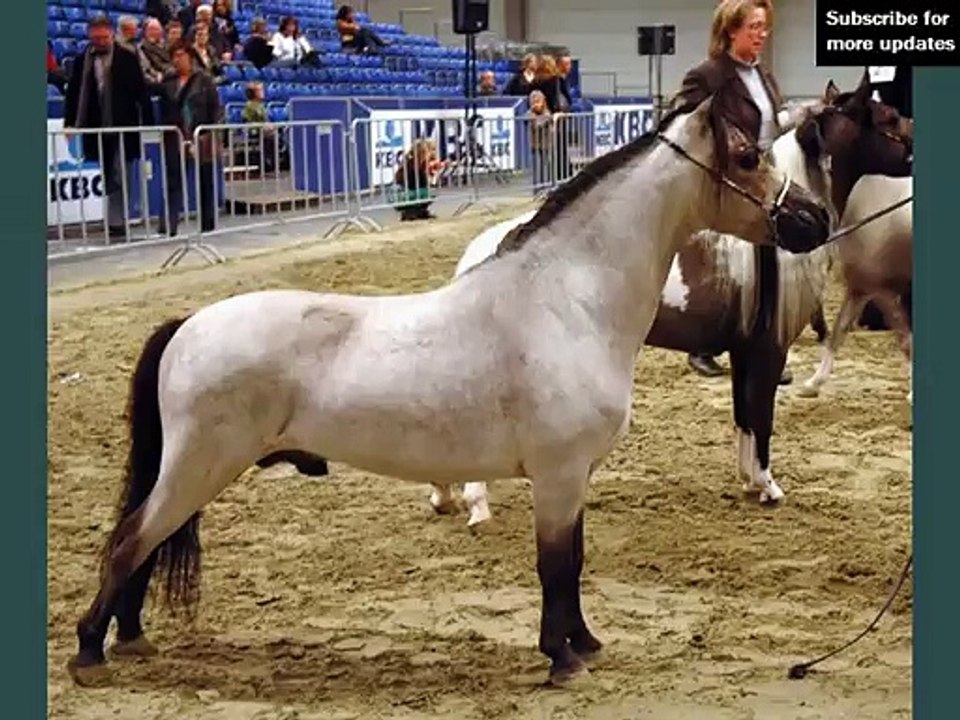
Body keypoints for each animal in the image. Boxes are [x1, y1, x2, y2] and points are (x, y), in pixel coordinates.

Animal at [65, 92, 831, 689]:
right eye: (745, 157)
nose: (814, 221)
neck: (568, 298)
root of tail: (187, 324)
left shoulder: (573, 478)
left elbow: (574, 563)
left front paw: (584, 642)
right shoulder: (558, 476)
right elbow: (555, 567)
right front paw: (561, 657)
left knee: (143, 544)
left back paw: (129, 638)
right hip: (198, 467)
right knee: (132, 540)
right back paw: (89, 651)